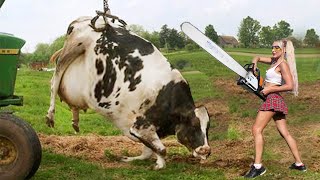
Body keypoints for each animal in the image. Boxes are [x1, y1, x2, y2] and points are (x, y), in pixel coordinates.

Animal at [45, 15, 210, 169]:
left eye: (207, 128)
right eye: (193, 126)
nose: (206, 150)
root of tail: (88, 18)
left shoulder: (149, 129)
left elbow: (149, 150)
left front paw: (134, 159)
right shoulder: (141, 126)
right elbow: (161, 149)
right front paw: (160, 164)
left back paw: (75, 120)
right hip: (74, 46)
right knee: (55, 80)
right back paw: (50, 115)